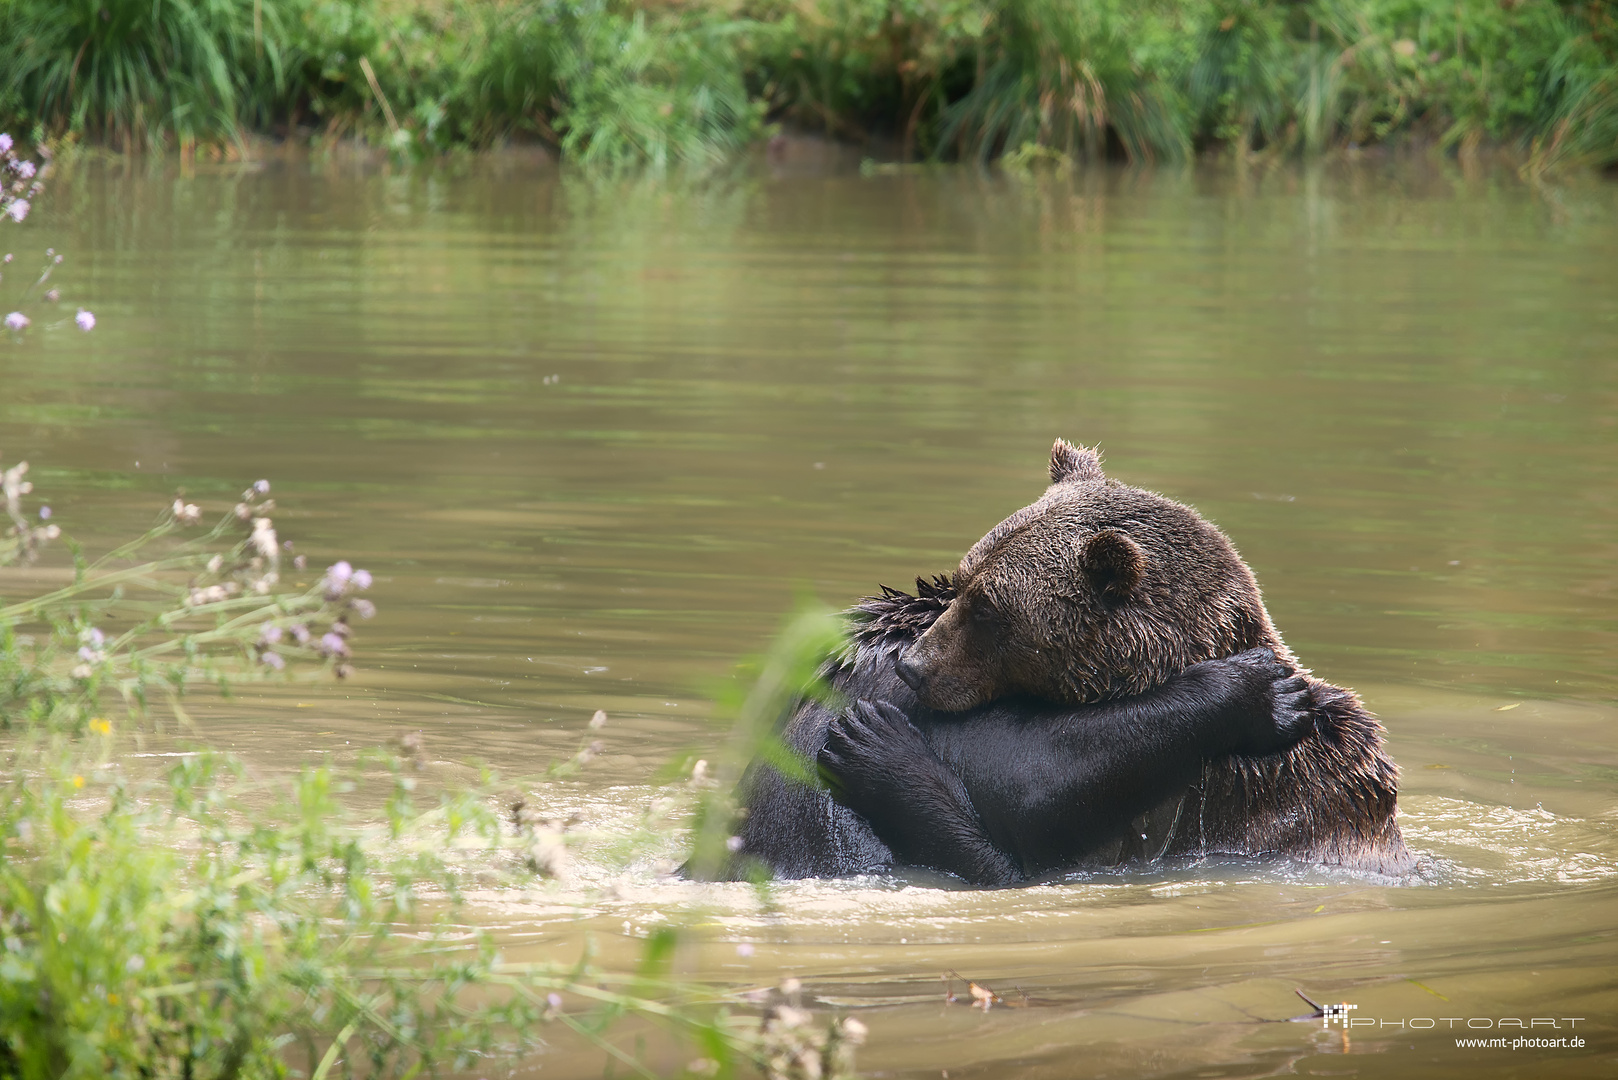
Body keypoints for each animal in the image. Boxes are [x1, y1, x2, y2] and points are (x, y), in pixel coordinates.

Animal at [715, 440, 1410, 887]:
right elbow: (1043, 782)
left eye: (990, 609)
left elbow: (1038, 781)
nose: (916, 667)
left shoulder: (1232, 791)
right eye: (965, 581)